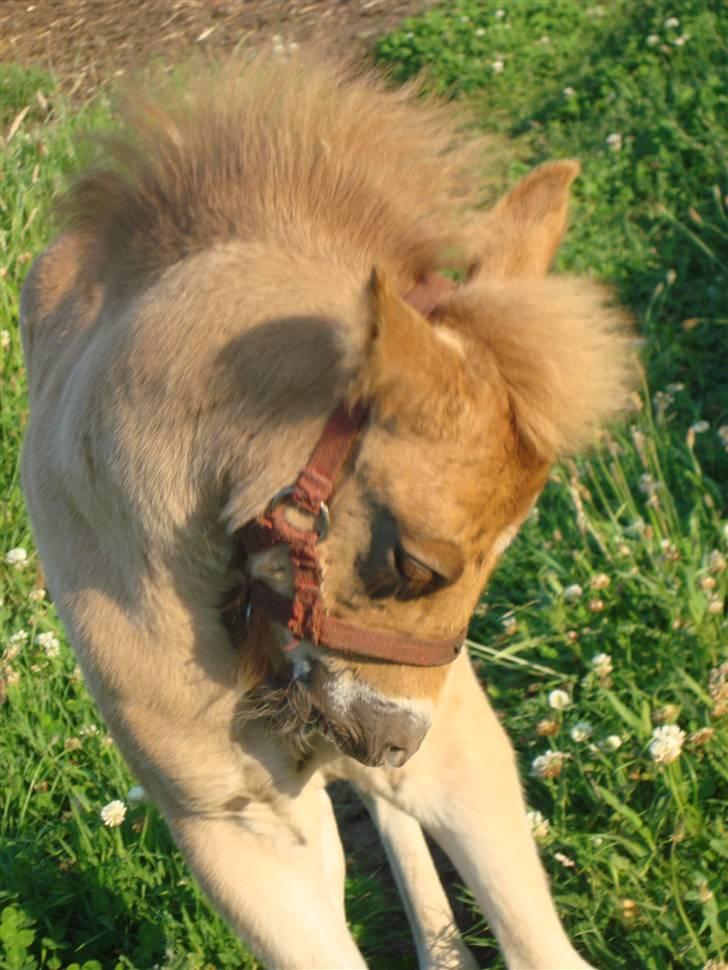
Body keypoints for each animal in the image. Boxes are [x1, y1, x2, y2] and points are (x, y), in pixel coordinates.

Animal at [19, 53, 636, 968]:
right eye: (412, 563)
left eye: (502, 559)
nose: (393, 738)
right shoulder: (238, 830)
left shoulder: (458, 746)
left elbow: (539, 944)